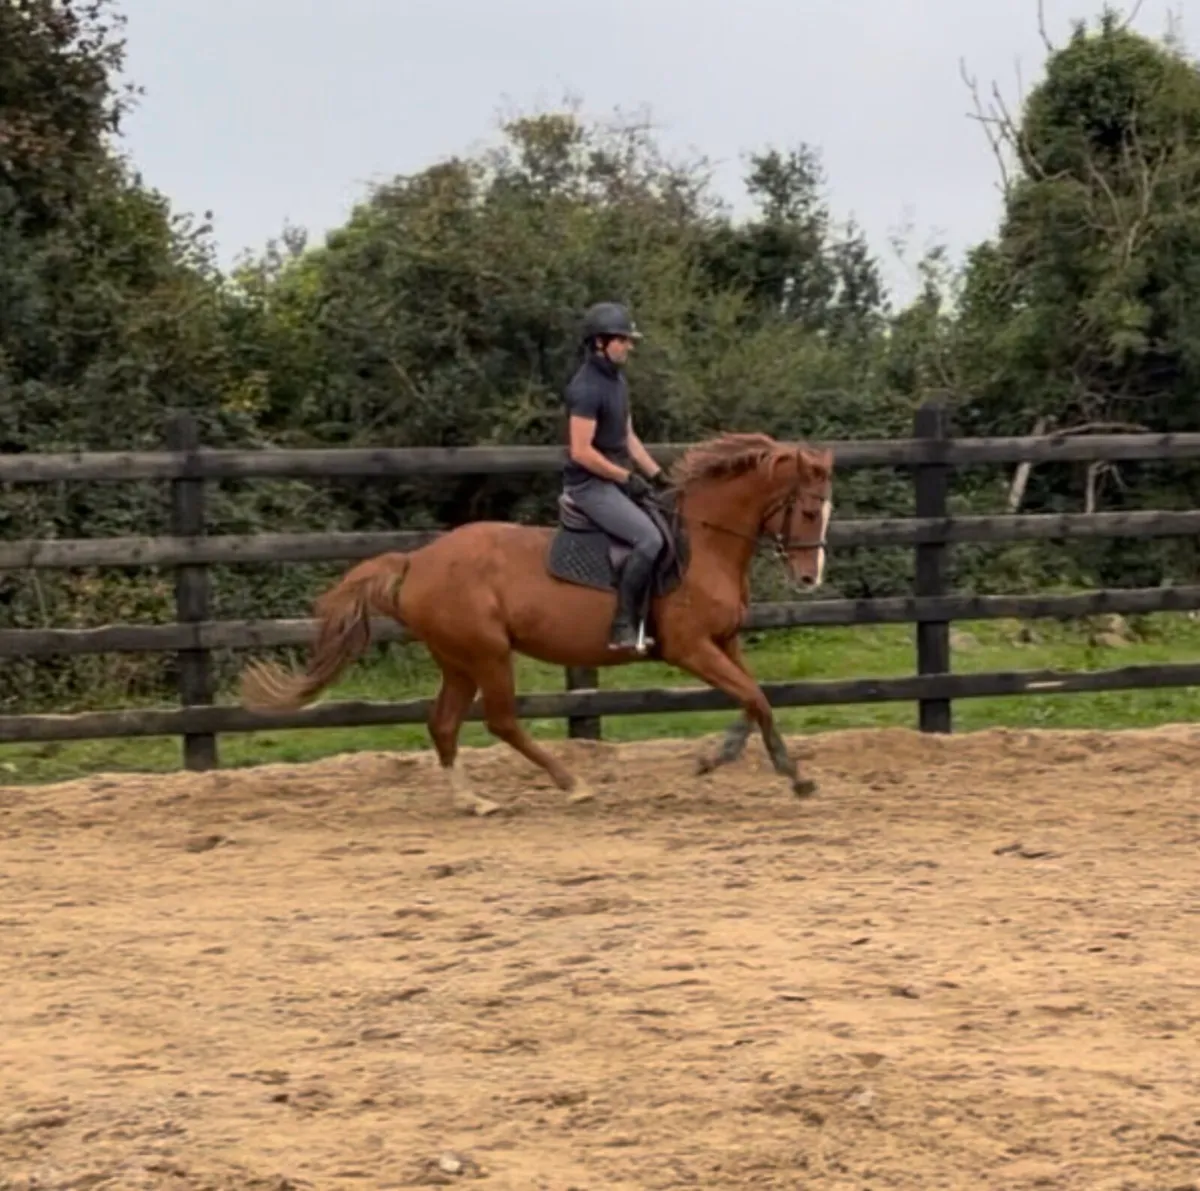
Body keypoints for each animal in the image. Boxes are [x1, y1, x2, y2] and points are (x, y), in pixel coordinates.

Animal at [239, 432, 834, 816]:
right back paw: (572, 785)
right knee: (501, 721)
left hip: (458, 661)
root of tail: (417, 561)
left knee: (444, 723)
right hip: (487, 654)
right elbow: (753, 696)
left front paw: (776, 770)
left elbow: (756, 697)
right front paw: (731, 762)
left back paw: (474, 800)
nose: (810, 578)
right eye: (808, 511)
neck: (703, 544)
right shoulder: (691, 648)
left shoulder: (724, 642)